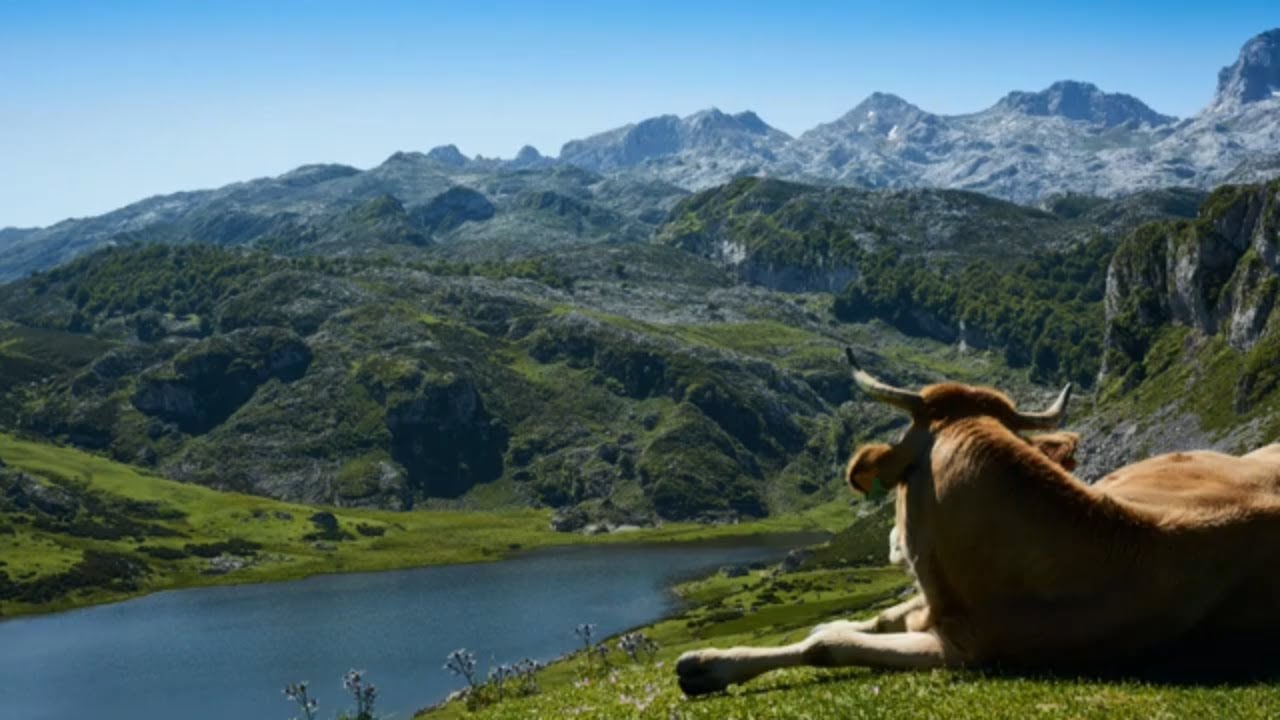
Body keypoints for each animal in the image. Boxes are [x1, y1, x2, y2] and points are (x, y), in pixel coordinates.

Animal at [675, 349, 1280, 697]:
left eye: (899, 481)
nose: (892, 543)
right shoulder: (930, 609)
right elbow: (858, 623)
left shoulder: (964, 651)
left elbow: (827, 645)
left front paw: (709, 665)